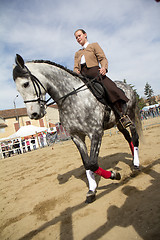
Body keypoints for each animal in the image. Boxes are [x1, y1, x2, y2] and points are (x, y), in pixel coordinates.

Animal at [13, 54, 142, 202]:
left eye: (26, 84)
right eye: (18, 90)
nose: (33, 114)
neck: (72, 98)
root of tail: (127, 86)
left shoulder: (96, 133)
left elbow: (92, 163)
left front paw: (114, 175)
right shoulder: (76, 136)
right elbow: (87, 163)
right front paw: (92, 190)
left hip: (130, 116)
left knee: (135, 138)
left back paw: (136, 165)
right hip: (119, 123)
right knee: (128, 138)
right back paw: (132, 160)